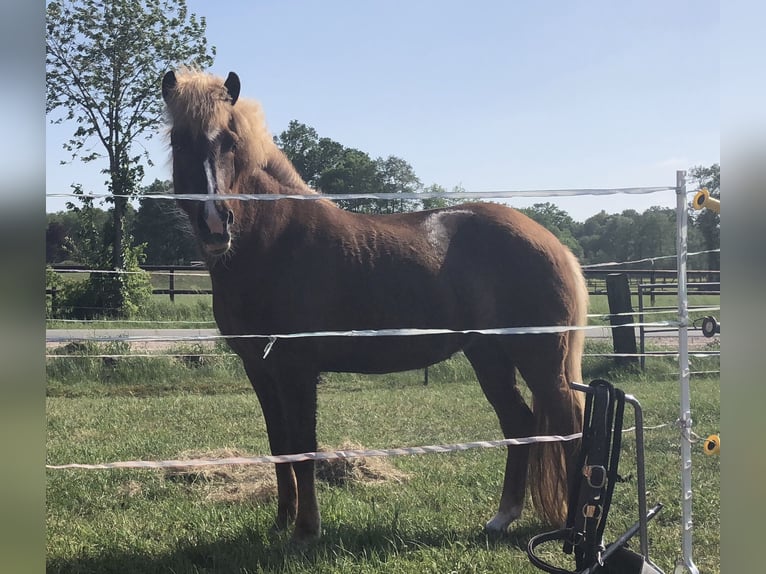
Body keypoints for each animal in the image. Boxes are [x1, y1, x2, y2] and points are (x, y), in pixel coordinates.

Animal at [160, 68, 588, 544]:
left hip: (540, 360)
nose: (216, 224)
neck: (272, 241)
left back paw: (575, 528)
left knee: (569, 425)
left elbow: (303, 445)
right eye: (180, 140)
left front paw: (306, 530)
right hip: (488, 355)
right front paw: (281, 521)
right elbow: (279, 446)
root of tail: (553, 243)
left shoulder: (296, 368)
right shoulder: (260, 368)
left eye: (230, 140)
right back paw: (502, 517)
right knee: (519, 424)